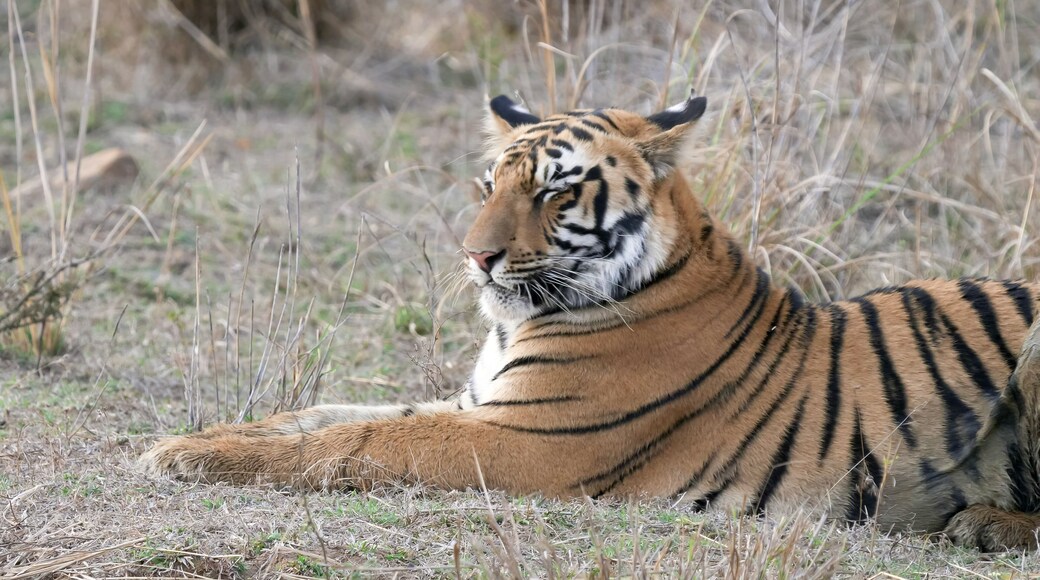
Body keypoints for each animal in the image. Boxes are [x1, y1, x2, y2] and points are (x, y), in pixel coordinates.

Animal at [140, 92, 1040, 551]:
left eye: (553, 190)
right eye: (489, 185)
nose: (475, 257)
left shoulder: (527, 438)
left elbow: (362, 439)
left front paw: (183, 459)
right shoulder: (479, 404)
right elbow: (316, 415)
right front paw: (187, 444)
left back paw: (986, 525)